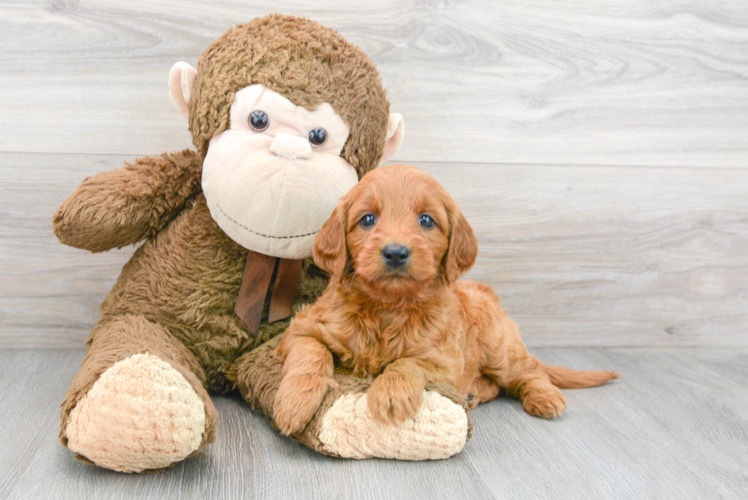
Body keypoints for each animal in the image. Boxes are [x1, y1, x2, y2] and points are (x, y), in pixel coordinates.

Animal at [272, 164, 616, 434]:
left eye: (426, 220)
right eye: (367, 219)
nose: (395, 252)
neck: (388, 306)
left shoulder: (446, 361)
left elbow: (407, 362)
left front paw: (390, 394)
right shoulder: (302, 327)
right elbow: (311, 353)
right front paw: (294, 402)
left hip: (500, 349)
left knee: (529, 371)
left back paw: (544, 397)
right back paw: (474, 393)